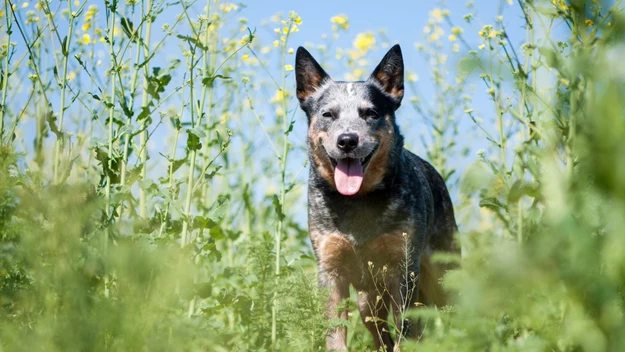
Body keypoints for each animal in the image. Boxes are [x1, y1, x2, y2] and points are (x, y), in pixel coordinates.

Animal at [294, 44, 456, 352]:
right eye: (328, 114)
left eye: (371, 113)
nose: (347, 140)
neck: (358, 202)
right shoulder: (330, 271)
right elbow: (335, 334)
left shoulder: (403, 270)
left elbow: (406, 331)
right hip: (367, 301)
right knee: (381, 335)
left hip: (443, 274)